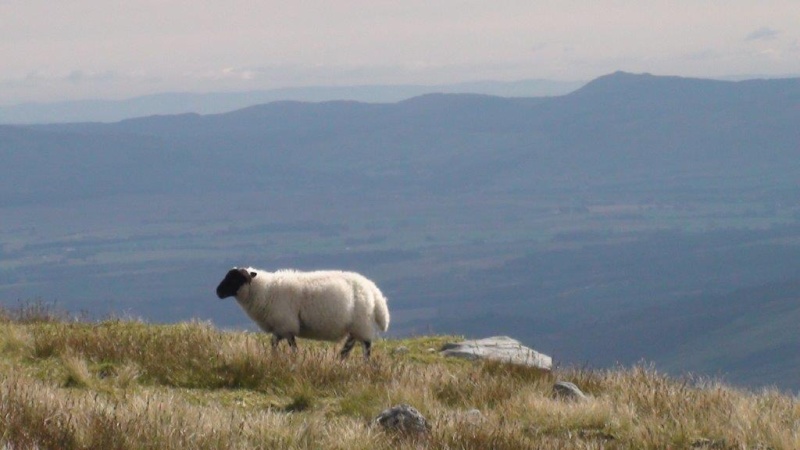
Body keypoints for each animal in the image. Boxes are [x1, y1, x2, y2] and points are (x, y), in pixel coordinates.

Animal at [216, 268, 390, 358]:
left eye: (235, 279)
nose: (218, 291)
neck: (265, 289)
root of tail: (372, 289)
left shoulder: (286, 325)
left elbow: (291, 346)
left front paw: (292, 359)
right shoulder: (280, 328)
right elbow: (274, 343)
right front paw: (273, 357)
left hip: (362, 322)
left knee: (366, 346)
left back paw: (364, 363)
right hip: (356, 326)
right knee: (350, 344)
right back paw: (340, 359)